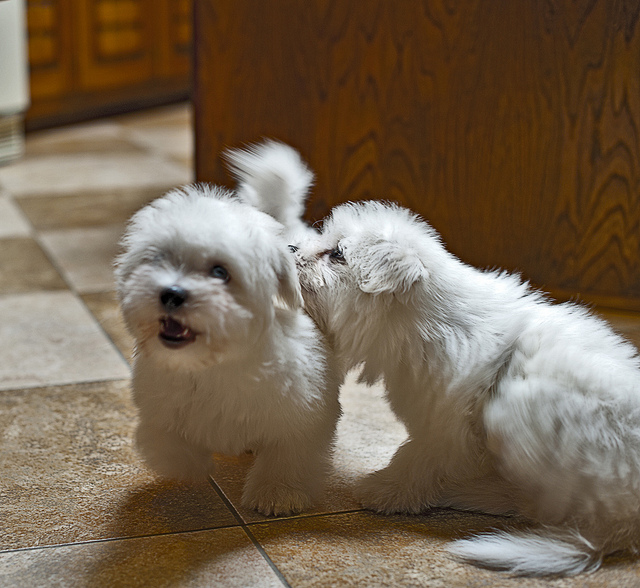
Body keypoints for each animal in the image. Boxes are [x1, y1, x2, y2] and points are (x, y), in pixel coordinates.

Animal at [117, 181, 342, 516]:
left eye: (220, 272)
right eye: (159, 259)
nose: (171, 293)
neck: (217, 361)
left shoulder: (304, 413)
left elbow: (289, 456)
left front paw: (278, 493)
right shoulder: (160, 401)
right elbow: (168, 442)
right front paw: (191, 467)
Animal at [292, 201, 640, 576]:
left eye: (337, 254)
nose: (291, 248)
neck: (423, 323)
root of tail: (625, 522)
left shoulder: (446, 421)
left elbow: (417, 456)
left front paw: (386, 490)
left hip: (514, 411)